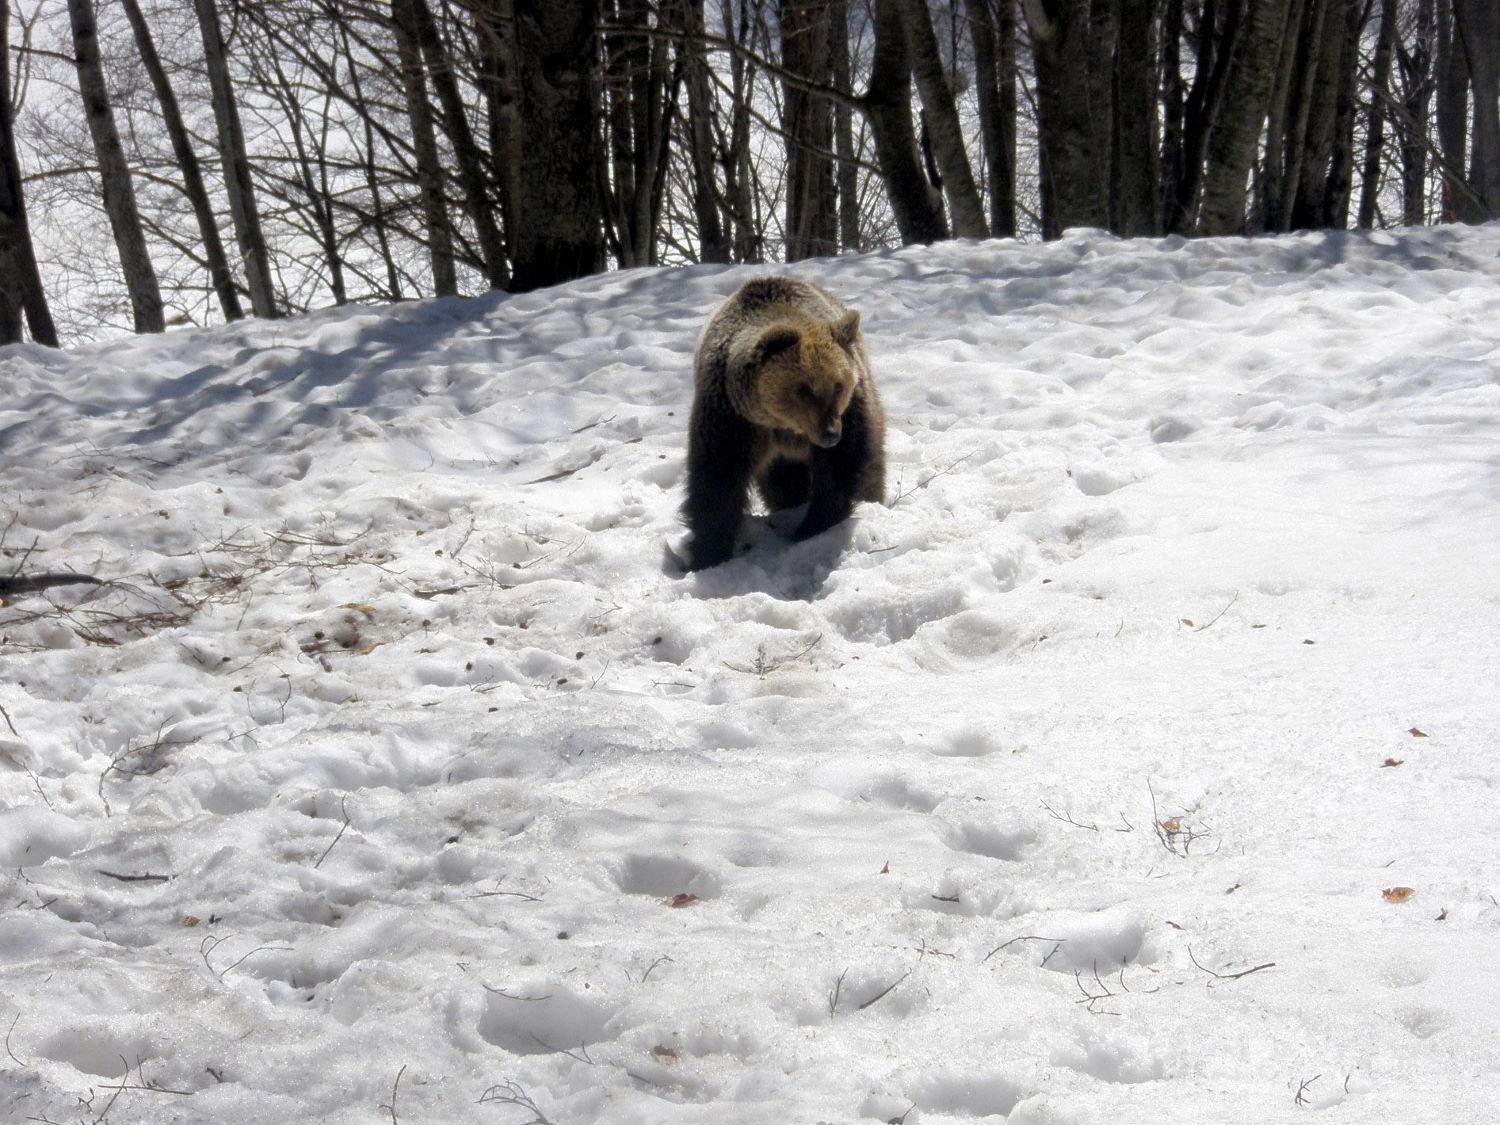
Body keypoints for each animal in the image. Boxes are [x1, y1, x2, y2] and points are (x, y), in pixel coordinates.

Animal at [678, 274, 876, 573]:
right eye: (804, 389)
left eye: (839, 385)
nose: (830, 434)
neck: (782, 423)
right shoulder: (731, 419)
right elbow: (716, 481)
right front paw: (709, 554)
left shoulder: (850, 413)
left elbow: (841, 469)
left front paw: (813, 527)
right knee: (783, 484)